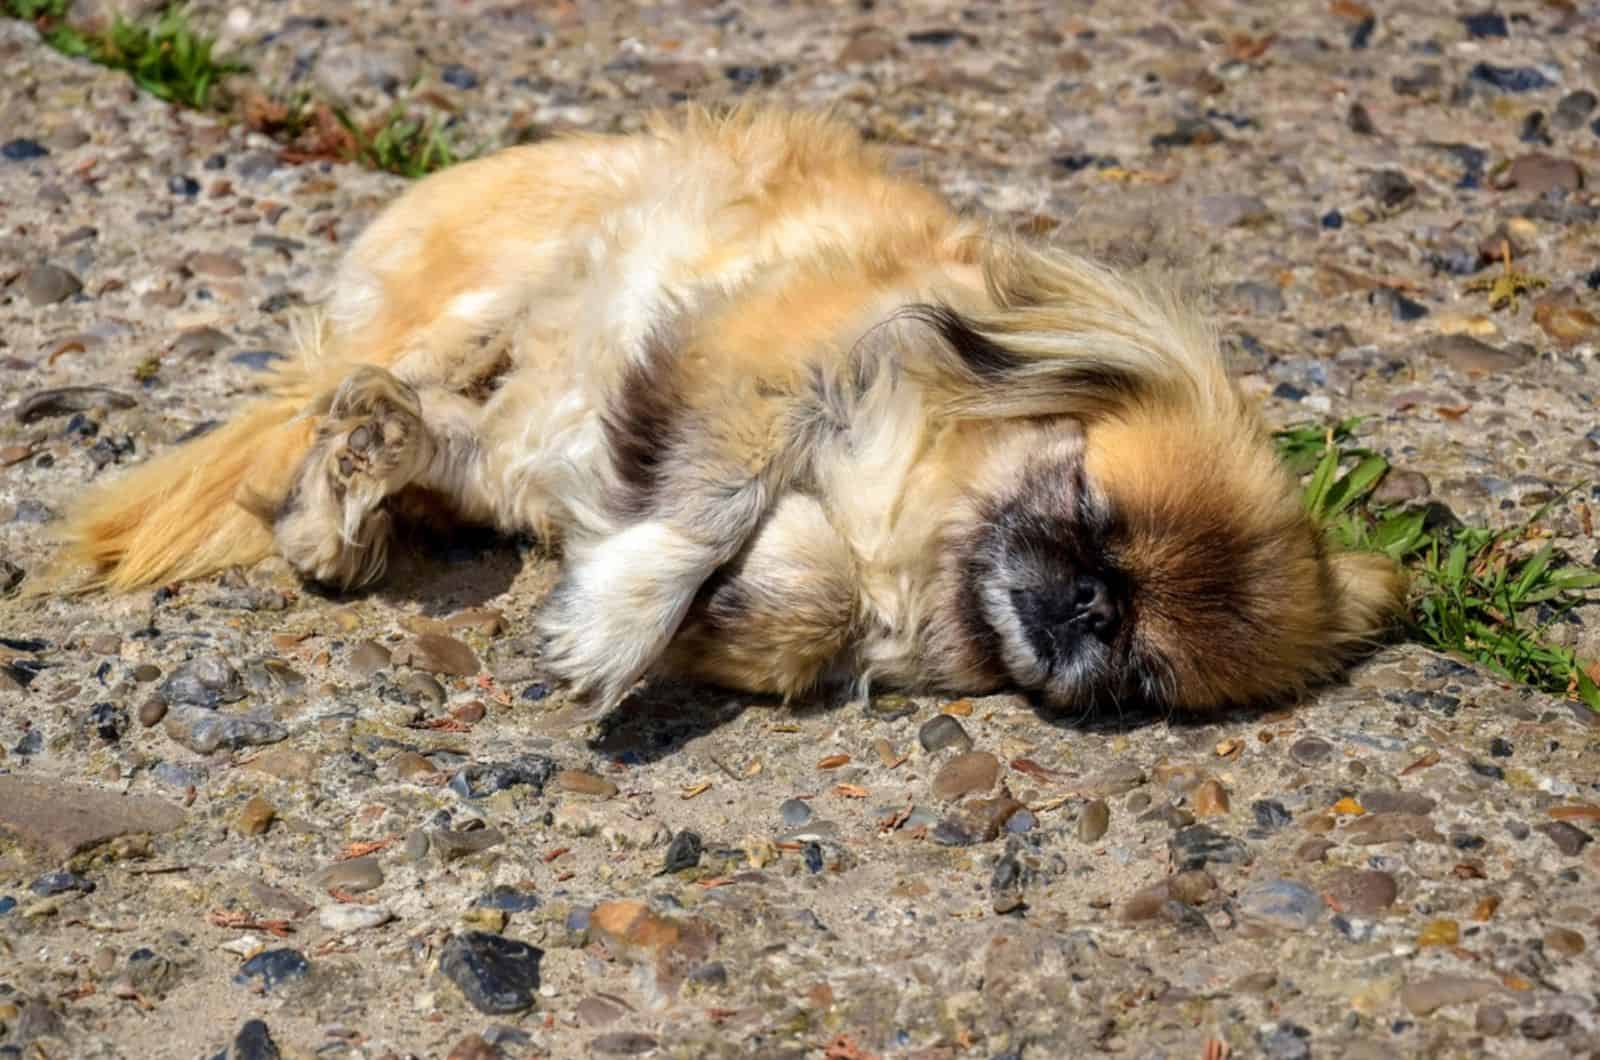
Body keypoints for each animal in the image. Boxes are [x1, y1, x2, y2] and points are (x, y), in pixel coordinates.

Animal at [59, 105, 1401, 714]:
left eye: (1137, 663)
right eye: (1088, 509)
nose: (1085, 606)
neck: (920, 521)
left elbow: (803, 603)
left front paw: (717, 613)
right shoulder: (753, 369)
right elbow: (706, 505)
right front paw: (619, 623)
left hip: (501, 435)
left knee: (449, 450)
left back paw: (371, 476)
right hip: (484, 299)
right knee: (365, 403)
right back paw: (345, 481)